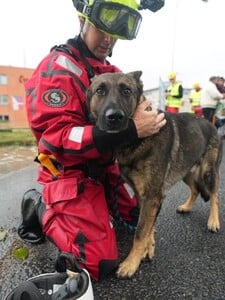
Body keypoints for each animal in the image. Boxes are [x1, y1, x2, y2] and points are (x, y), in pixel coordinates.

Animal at [85, 71, 221, 278]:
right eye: (100, 90)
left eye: (126, 91)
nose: (114, 117)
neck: (136, 140)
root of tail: (210, 123)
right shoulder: (145, 197)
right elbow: (149, 227)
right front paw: (148, 249)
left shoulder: (152, 196)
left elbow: (141, 231)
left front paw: (131, 263)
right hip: (186, 172)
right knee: (196, 190)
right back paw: (186, 206)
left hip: (207, 172)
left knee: (214, 196)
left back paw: (214, 220)